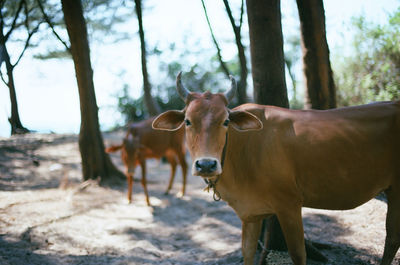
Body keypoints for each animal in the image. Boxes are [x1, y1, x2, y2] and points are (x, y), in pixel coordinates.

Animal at [152, 71, 400, 262]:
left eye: (226, 121)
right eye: (187, 121)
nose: (206, 164)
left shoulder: (289, 204)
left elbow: (298, 254)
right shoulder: (250, 213)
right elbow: (248, 252)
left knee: (392, 238)